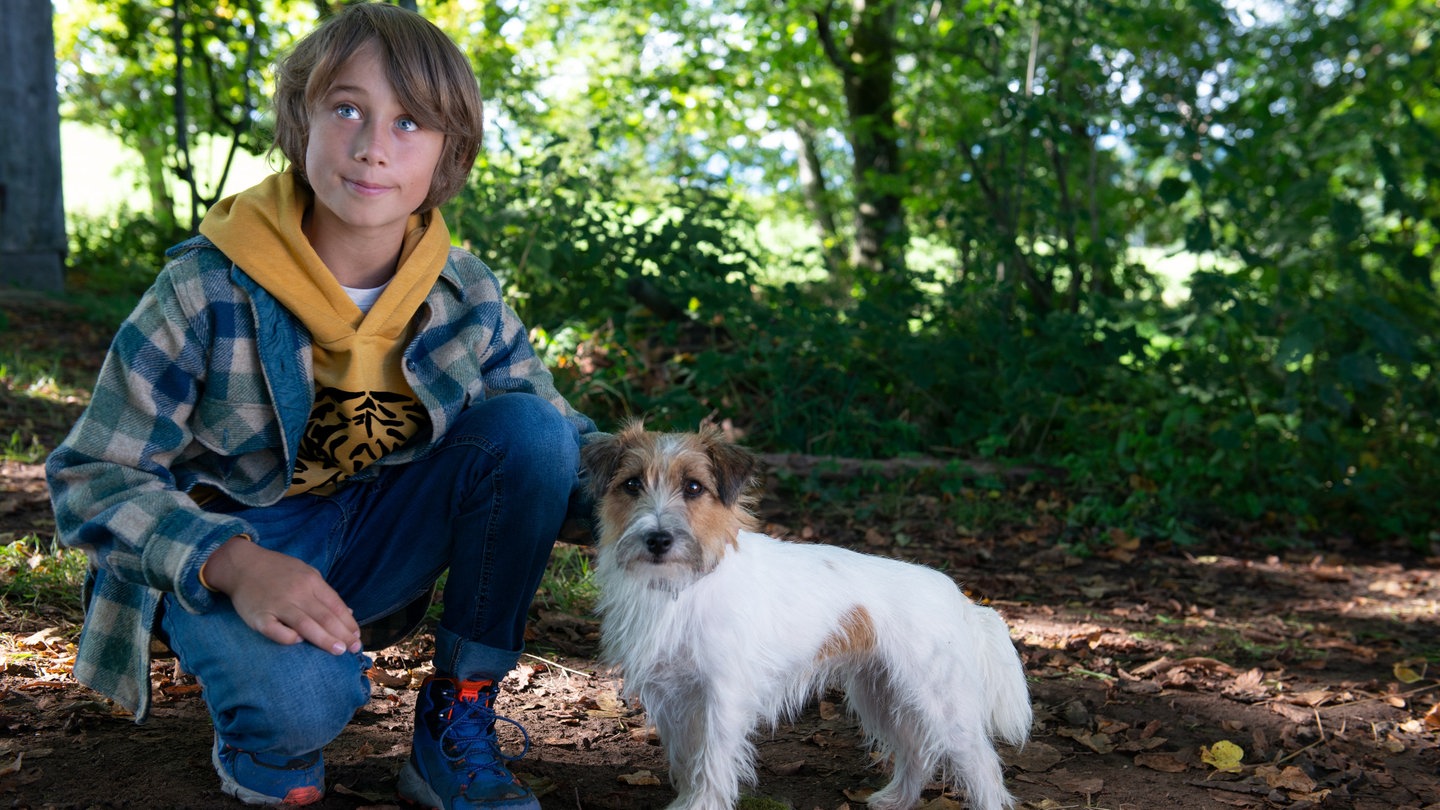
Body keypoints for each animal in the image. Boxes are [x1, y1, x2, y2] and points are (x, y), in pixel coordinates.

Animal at [578, 423, 1031, 807]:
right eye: (632, 484)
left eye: (693, 487)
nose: (657, 539)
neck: (684, 587)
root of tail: (960, 599)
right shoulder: (675, 698)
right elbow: (689, 761)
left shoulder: (722, 696)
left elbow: (711, 762)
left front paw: (702, 805)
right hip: (885, 695)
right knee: (916, 750)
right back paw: (896, 799)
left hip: (942, 703)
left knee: (982, 765)